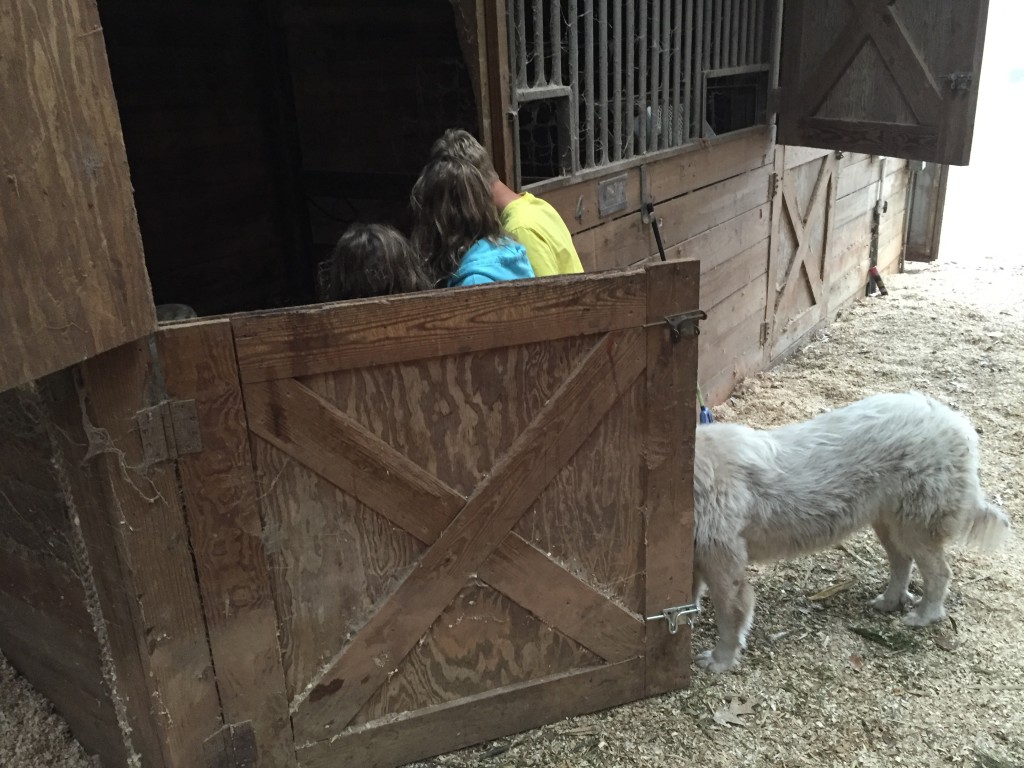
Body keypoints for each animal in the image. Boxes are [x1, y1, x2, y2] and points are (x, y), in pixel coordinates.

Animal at [692, 393, 1011, 675]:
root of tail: (957, 424)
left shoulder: (723, 566)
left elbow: (731, 616)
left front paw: (720, 660)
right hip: (888, 524)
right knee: (902, 562)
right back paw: (890, 601)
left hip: (914, 527)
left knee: (939, 574)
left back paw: (923, 616)